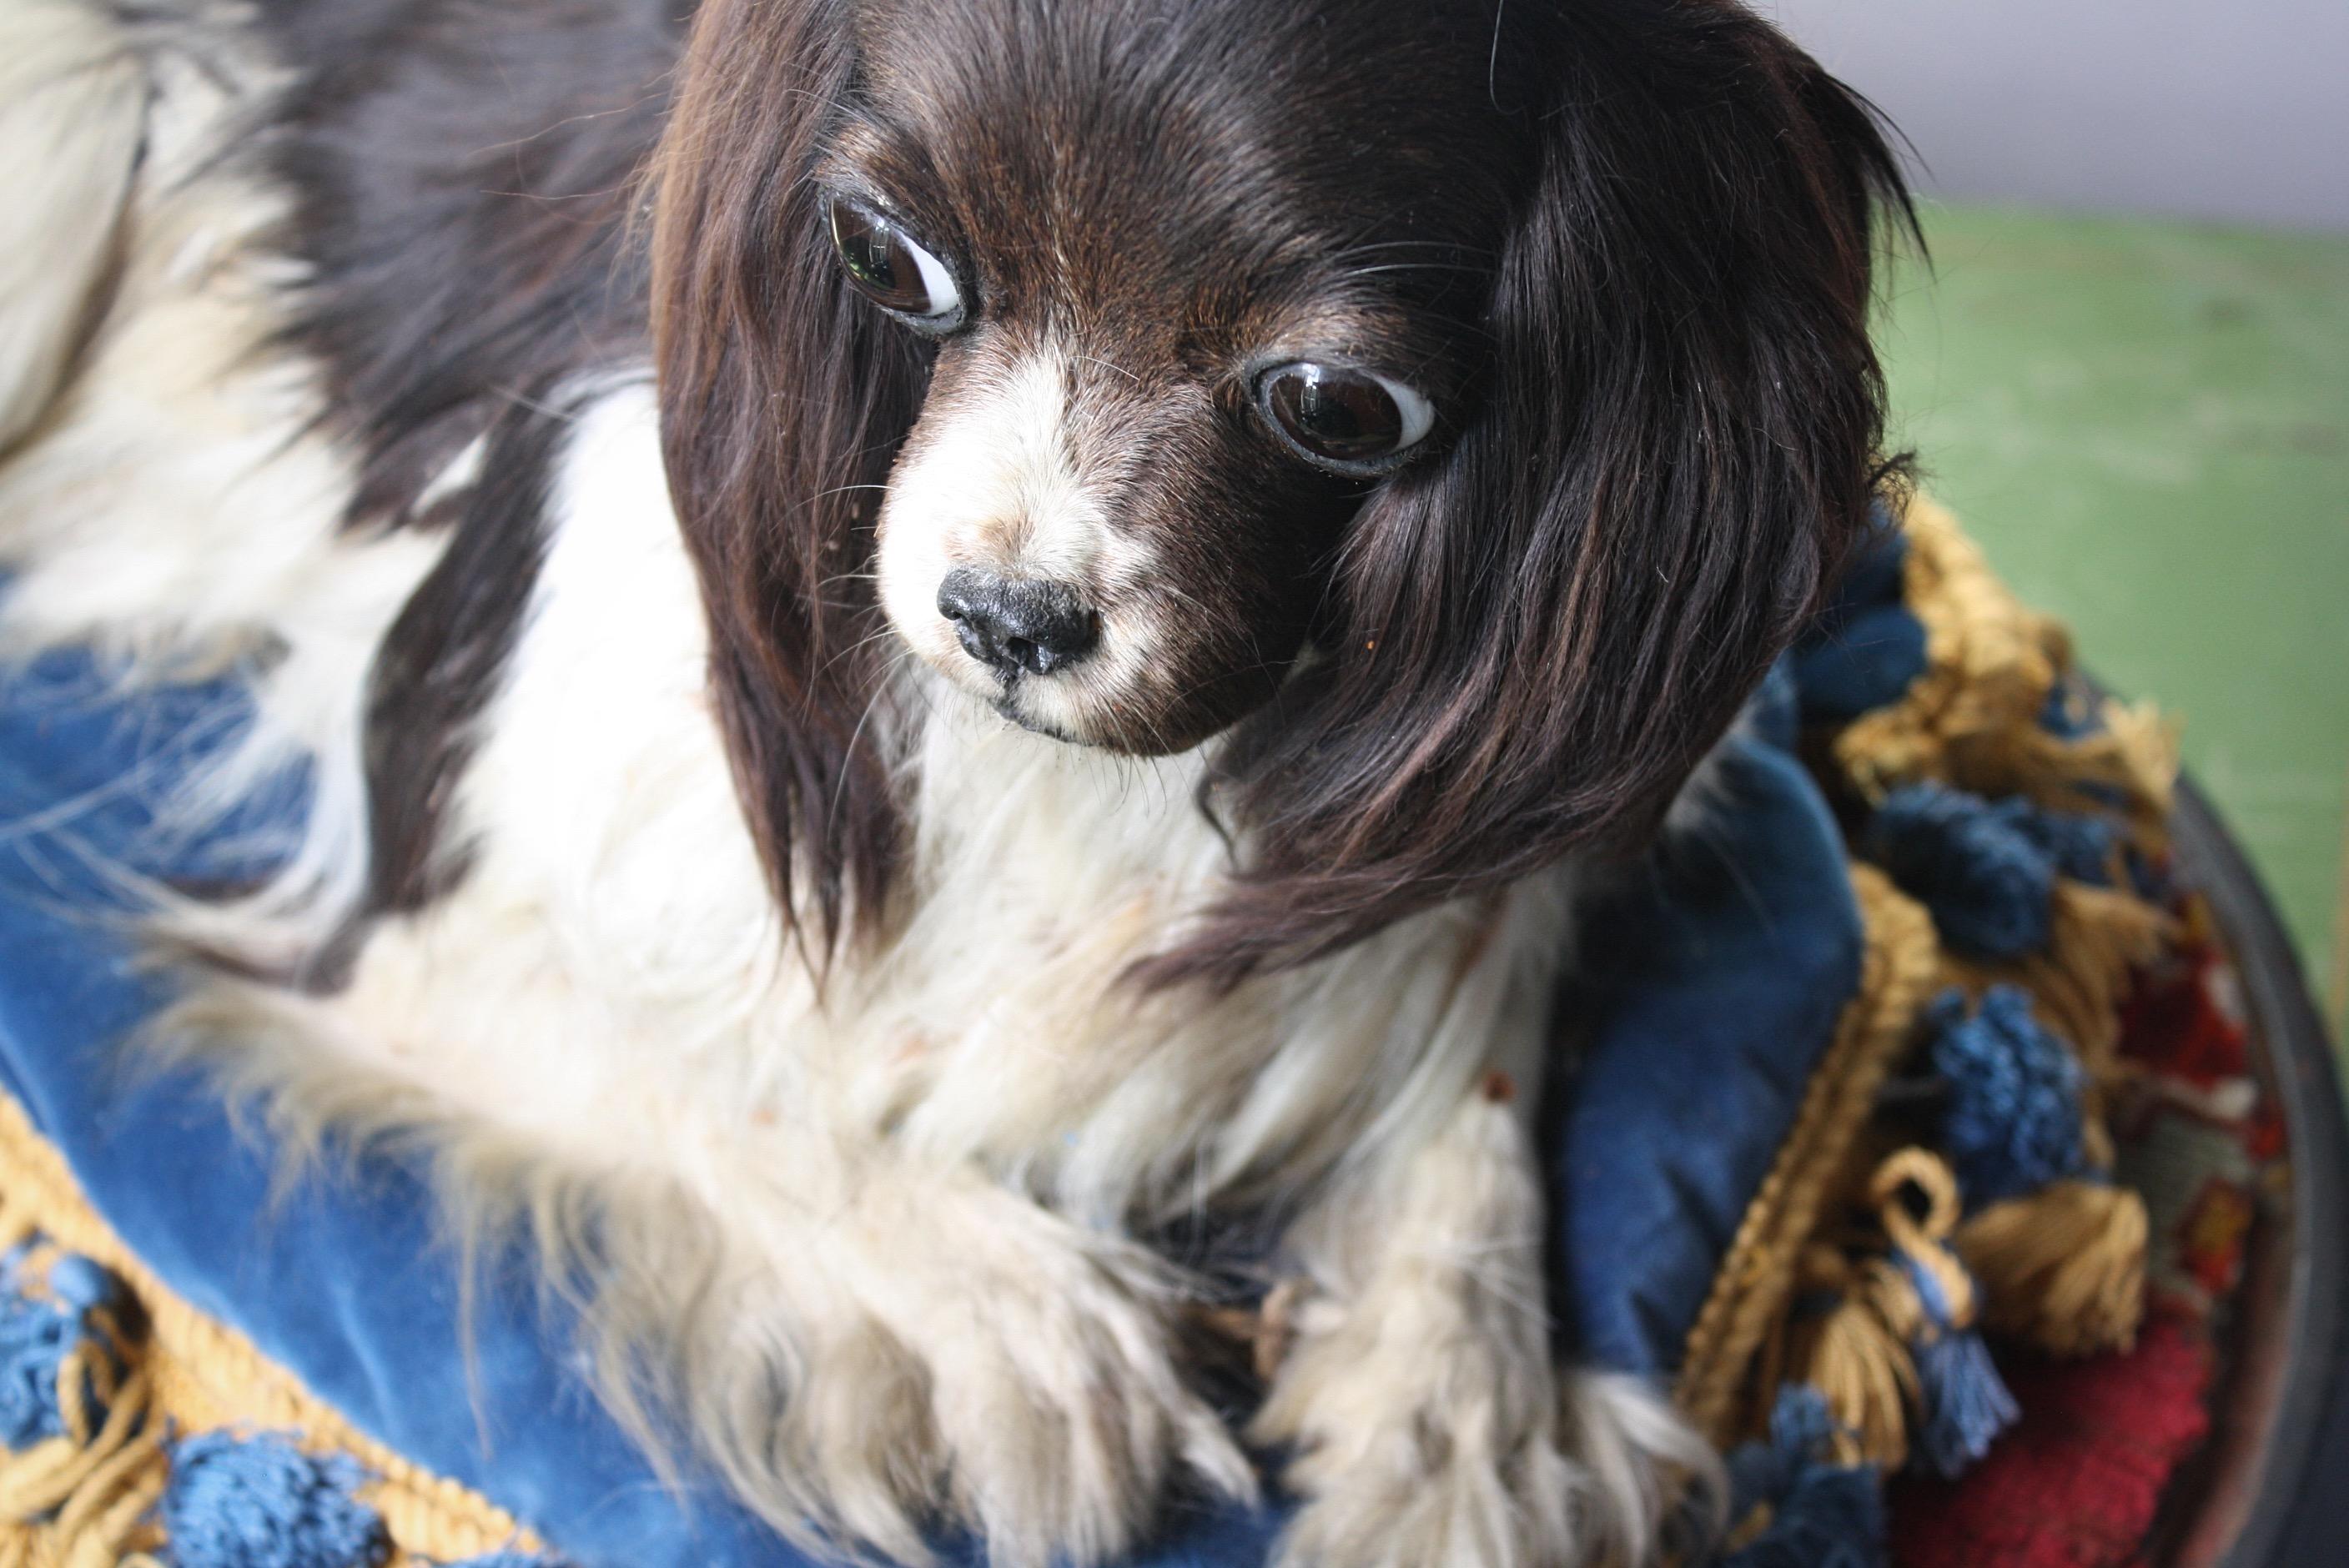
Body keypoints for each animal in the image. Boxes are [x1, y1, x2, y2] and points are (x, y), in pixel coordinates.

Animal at [0, 0, 1907, 1558]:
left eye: (1340, 407)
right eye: (882, 258)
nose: (1003, 618)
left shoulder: (1466, 898)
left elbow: (1467, 1121)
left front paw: (1468, 1435)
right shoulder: (428, 925)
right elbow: (730, 1084)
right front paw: (1021, 1318)